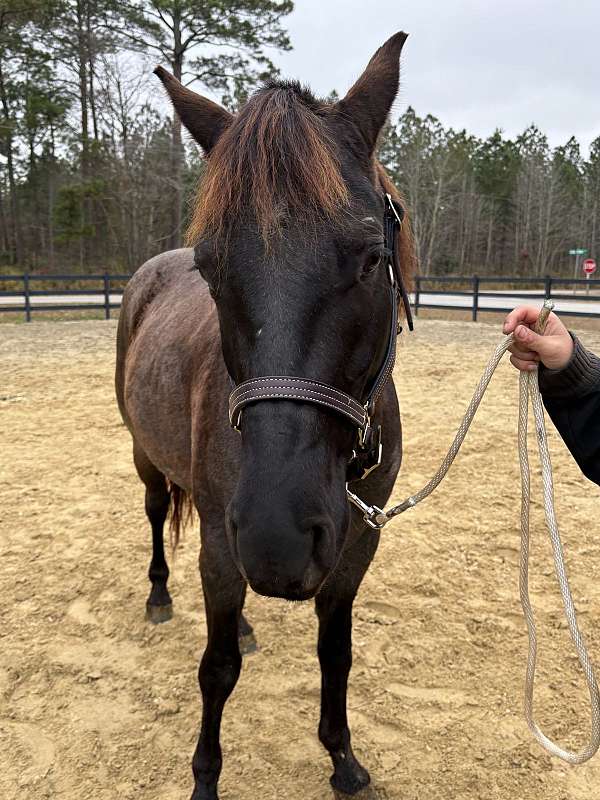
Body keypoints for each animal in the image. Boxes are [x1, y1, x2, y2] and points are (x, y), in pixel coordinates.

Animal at [116, 31, 418, 800]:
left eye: (370, 257)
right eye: (212, 265)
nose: (277, 539)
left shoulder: (357, 544)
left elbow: (336, 652)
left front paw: (343, 760)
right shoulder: (224, 546)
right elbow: (217, 670)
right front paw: (204, 780)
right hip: (146, 459)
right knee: (156, 515)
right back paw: (158, 596)